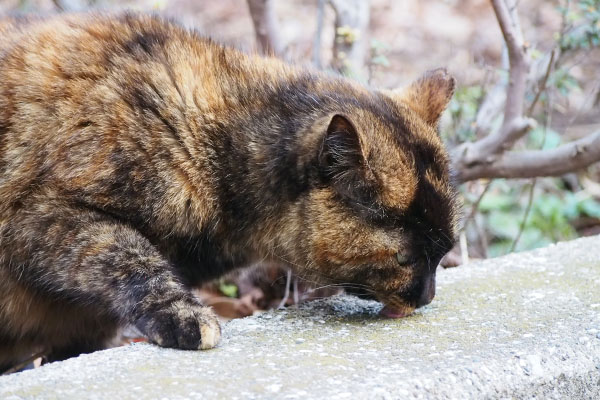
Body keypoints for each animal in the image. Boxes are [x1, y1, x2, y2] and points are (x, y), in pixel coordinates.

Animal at [1, 11, 460, 368]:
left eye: (443, 252)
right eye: (404, 258)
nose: (426, 297)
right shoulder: (40, 218)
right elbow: (130, 256)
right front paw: (183, 315)